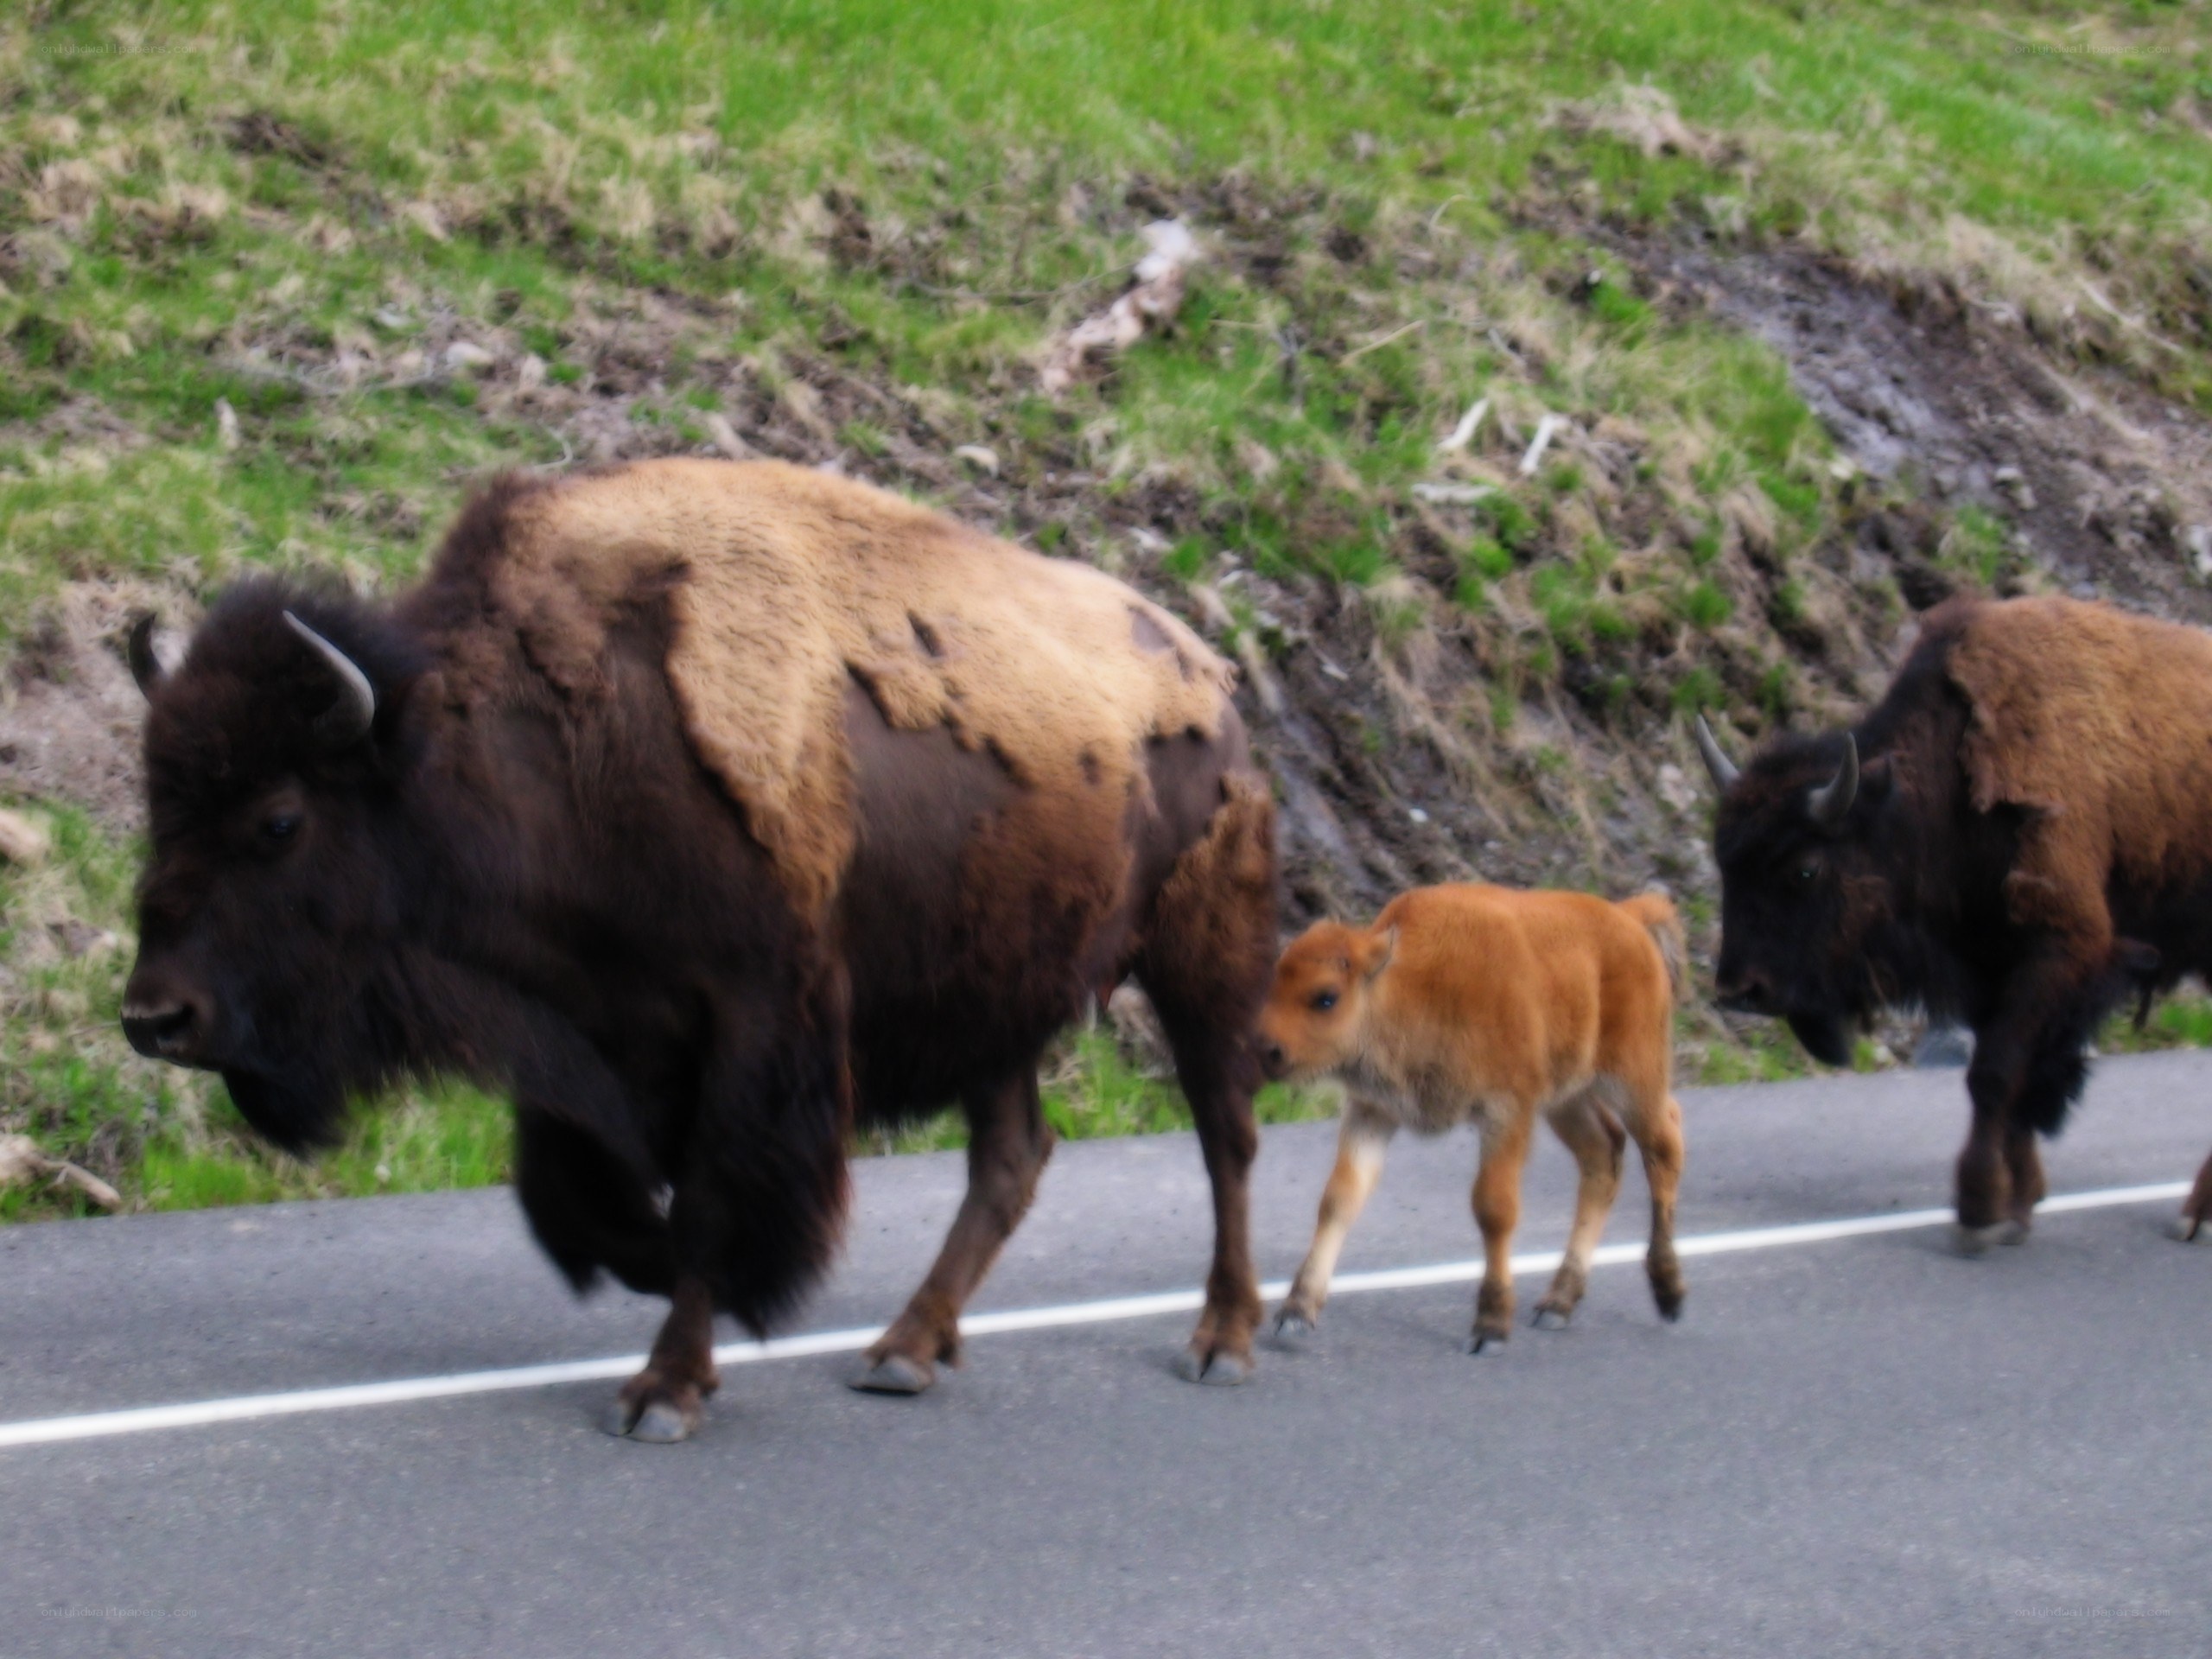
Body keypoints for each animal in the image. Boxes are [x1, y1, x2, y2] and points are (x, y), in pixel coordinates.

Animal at [121, 459, 1279, 1440]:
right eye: (156, 807)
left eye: (279, 820)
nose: (153, 1017)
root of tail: (1211, 678)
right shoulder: (584, 1032)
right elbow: (571, 1193)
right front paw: (656, 1283)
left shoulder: (751, 1021)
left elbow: (713, 1198)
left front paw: (666, 1390)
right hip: (997, 999)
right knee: (1012, 1156)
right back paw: (906, 1349)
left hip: (1196, 958)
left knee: (1224, 1133)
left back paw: (1222, 1340)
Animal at [1697, 594, 2212, 1247]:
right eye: (1724, 861)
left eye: (1806, 868)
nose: (1741, 990)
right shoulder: (1985, 968)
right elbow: (2009, 1079)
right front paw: (2020, 1200)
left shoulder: (2063, 950)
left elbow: (1993, 1074)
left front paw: (1979, 1210)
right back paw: (2194, 1213)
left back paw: (2192, 1213)